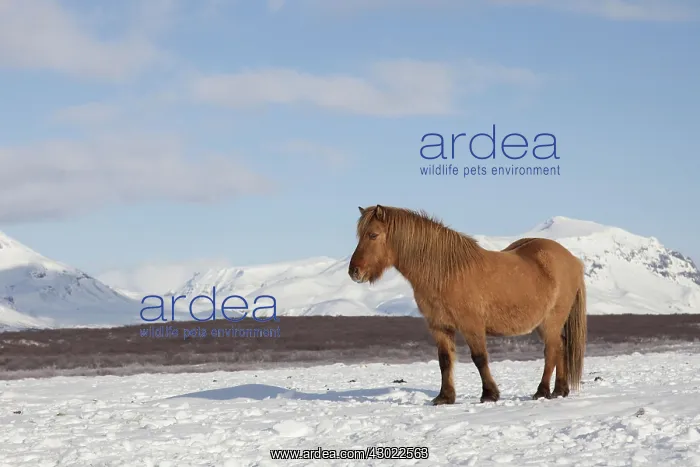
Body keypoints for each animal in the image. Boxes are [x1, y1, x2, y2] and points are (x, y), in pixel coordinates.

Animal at [348, 205, 587, 404]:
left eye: (373, 235)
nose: (354, 272)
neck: (445, 272)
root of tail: (573, 260)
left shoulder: (472, 325)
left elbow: (479, 358)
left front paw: (489, 394)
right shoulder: (439, 327)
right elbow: (445, 361)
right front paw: (445, 397)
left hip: (551, 320)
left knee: (551, 351)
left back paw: (542, 391)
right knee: (561, 347)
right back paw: (560, 390)